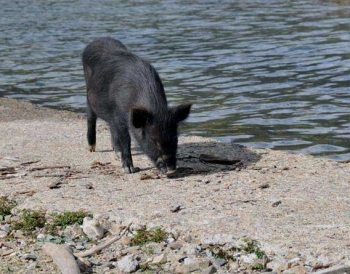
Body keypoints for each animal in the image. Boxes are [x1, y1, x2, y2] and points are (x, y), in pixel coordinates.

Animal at [82, 37, 191, 173]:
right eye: (153, 140)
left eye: (175, 139)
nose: (171, 169)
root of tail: (97, 40)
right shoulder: (119, 114)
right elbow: (126, 139)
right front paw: (129, 169)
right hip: (88, 95)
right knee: (91, 118)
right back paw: (92, 148)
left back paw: (116, 152)